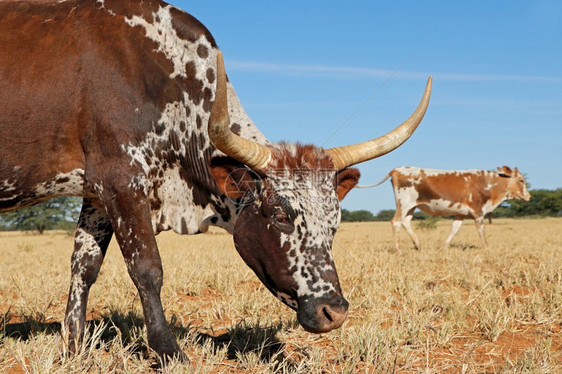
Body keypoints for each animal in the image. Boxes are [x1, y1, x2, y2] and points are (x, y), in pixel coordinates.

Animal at [0, 0, 434, 362]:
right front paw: (168, 351)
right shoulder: (122, 179)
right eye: (280, 216)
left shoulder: (96, 194)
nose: (334, 311)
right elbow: (147, 268)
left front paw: (74, 347)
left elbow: (84, 267)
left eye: (335, 222)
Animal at [360, 167, 528, 251]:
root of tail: (397, 169)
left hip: (411, 206)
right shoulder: (478, 212)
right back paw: (398, 248)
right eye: (521, 180)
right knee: (396, 222)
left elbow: (455, 229)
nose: (529, 196)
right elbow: (481, 230)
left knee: (405, 222)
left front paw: (444, 246)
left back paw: (417, 244)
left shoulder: (460, 213)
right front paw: (486, 248)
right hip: (404, 203)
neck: (487, 183)